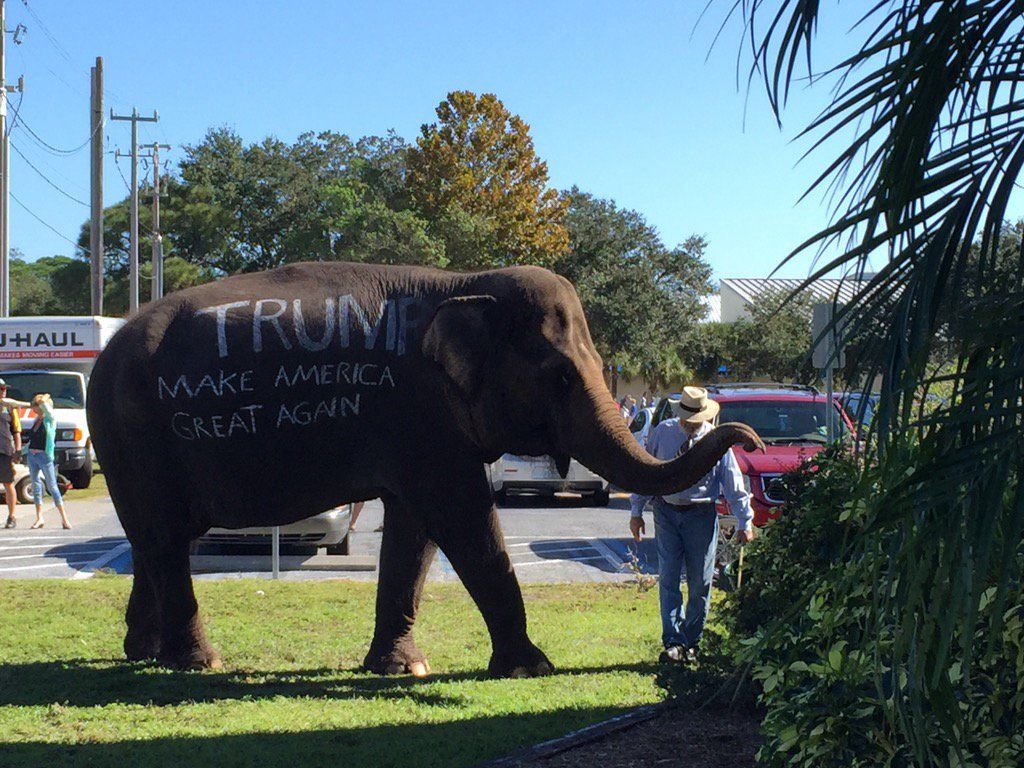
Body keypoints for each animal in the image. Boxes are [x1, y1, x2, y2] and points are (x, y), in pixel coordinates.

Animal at [88, 264, 761, 679]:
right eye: (560, 377)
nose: (749, 434)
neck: (463, 283)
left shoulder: (418, 431)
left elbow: (415, 535)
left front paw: (401, 668)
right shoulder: (421, 418)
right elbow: (462, 521)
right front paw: (532, 666)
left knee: (154, 541)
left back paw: (142, 654)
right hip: (133, 436)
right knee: (165, 540)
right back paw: (199, 663)